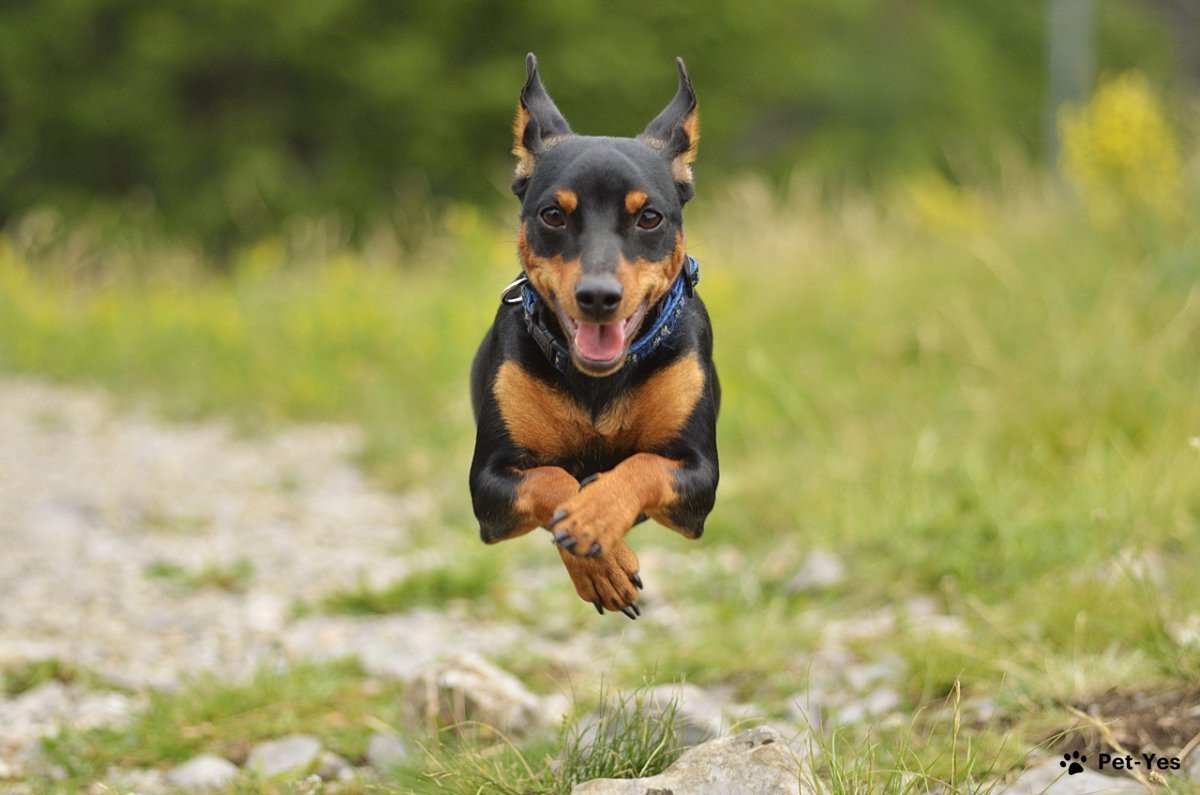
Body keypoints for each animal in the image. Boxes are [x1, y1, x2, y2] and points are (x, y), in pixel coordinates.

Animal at [468, 54, 715, 624]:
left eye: (649, 217)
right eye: (553, 214)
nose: (598, 296)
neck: (598, 381)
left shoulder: (699, 476)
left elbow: (640, 466)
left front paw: (594, 516)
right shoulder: (488, 485)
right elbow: (553, 481)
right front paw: (600, 562)